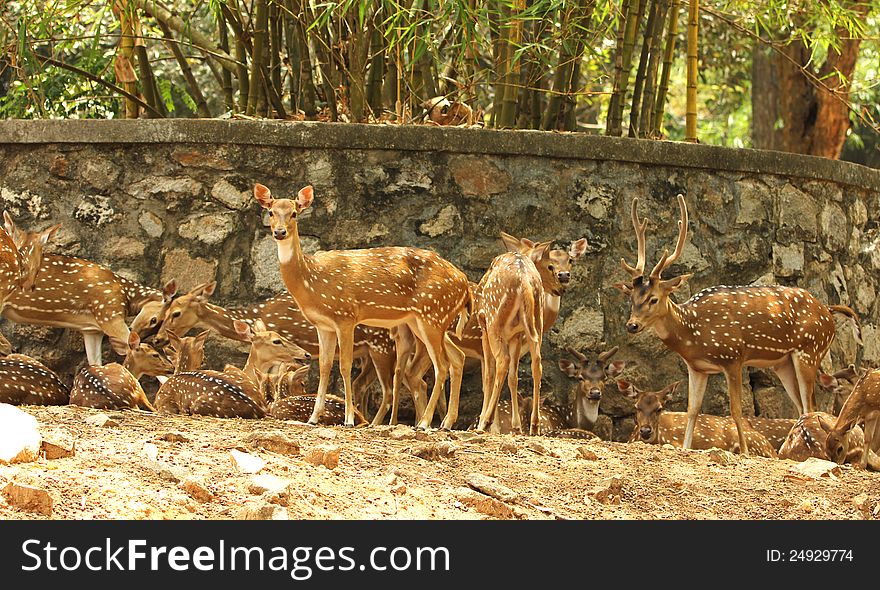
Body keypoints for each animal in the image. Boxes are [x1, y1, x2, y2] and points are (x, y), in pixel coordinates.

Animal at [2, 215, 178, 368]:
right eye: (154, 320)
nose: (153, 340)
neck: (126, 295)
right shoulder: (109, 314)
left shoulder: (92, 330)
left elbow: (96, 364)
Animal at [254, 183, 474, 428]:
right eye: (270, 212)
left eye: (294, 213)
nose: (279, 232)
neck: (311, 280)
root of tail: (465, 285)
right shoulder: (323, 325)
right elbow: (324, 366)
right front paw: (312, 418)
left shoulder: (345, 315)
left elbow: (345, 366)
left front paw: (349, 419)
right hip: (425, 320)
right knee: (457, 357)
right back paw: (446, 422)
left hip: (432, 314)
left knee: (442, 365)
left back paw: (425, 423)